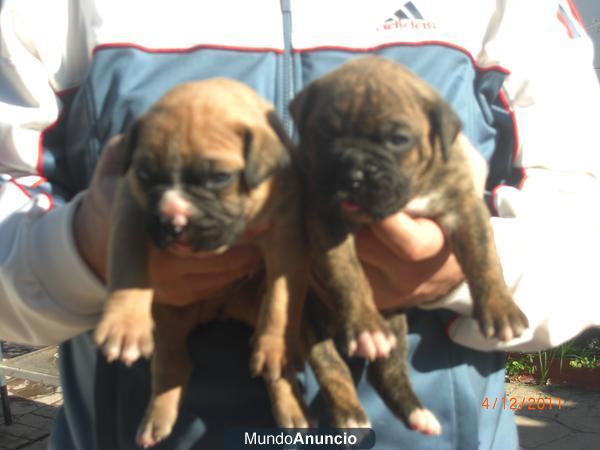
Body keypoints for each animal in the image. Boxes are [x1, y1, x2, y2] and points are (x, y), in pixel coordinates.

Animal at [94, 79, 310, 448]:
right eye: (145, 174)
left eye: (221, 177)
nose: (173, 221)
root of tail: (219, 310)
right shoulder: (130, 210)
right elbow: (128, 270)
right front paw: (124, 326)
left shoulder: (286, 234)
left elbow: (281, 297)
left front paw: (275, 344)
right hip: (168, 322)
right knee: (173, 366)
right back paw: (156, 419)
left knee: (277, 370)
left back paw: (289, 404)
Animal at [288, 54, 528, 434]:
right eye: (324, 132)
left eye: (398, 139)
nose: (352, 173)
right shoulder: (325, 217)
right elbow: (347, 274)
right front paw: (364, 323)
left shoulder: (464, 206)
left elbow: (484, 257)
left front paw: (500, 308)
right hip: (307, 321)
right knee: (331, 366)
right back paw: (351, 412)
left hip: (394, 325)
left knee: (384, 371)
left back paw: (416, 413)